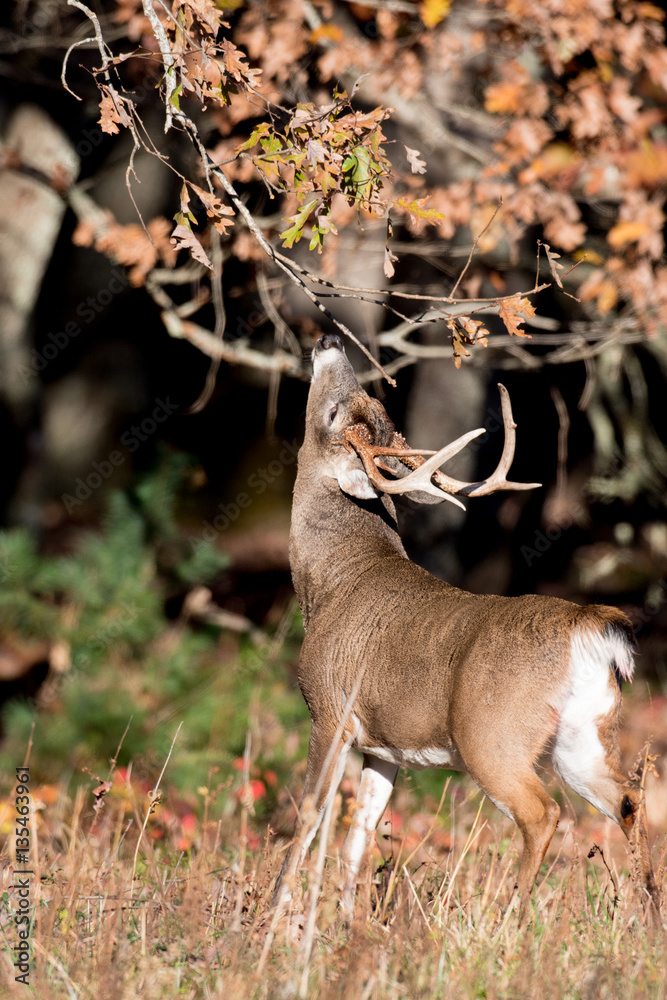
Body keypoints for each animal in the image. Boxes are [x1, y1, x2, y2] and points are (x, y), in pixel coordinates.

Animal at [275, 332, 661, 922]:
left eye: (333, 411)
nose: (329, 338)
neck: (330, 585)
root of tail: (587, 623)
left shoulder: (330, 709)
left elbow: (309, 818)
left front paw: (272, 918)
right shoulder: (382, 744)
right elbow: (359, 831)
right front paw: (343, 921)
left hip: (490, 732)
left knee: (543, 813)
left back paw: (513, 921)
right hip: (585, 734)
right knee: (629, 796)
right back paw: (648, 912)